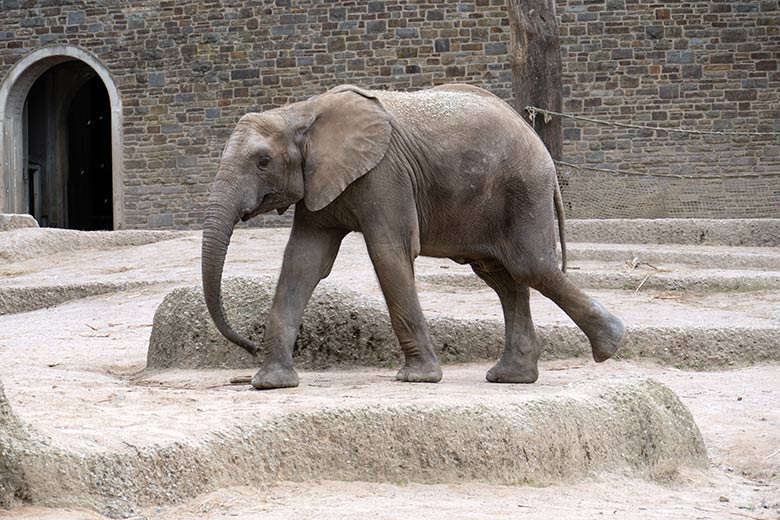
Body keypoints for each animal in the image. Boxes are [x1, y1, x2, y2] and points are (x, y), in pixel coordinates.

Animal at [203, 83, 628, 388]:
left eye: (263, 162)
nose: (249, 346)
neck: (299, 113)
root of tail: (538, 142)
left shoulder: (384, 174)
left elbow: (389, 252)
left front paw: (417, 378)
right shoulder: (319, 184)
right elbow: (303, 261)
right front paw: (270, 383)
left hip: (523, 187)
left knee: (529, 266)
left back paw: (611, 343)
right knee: (503, 277)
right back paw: (511, 377)